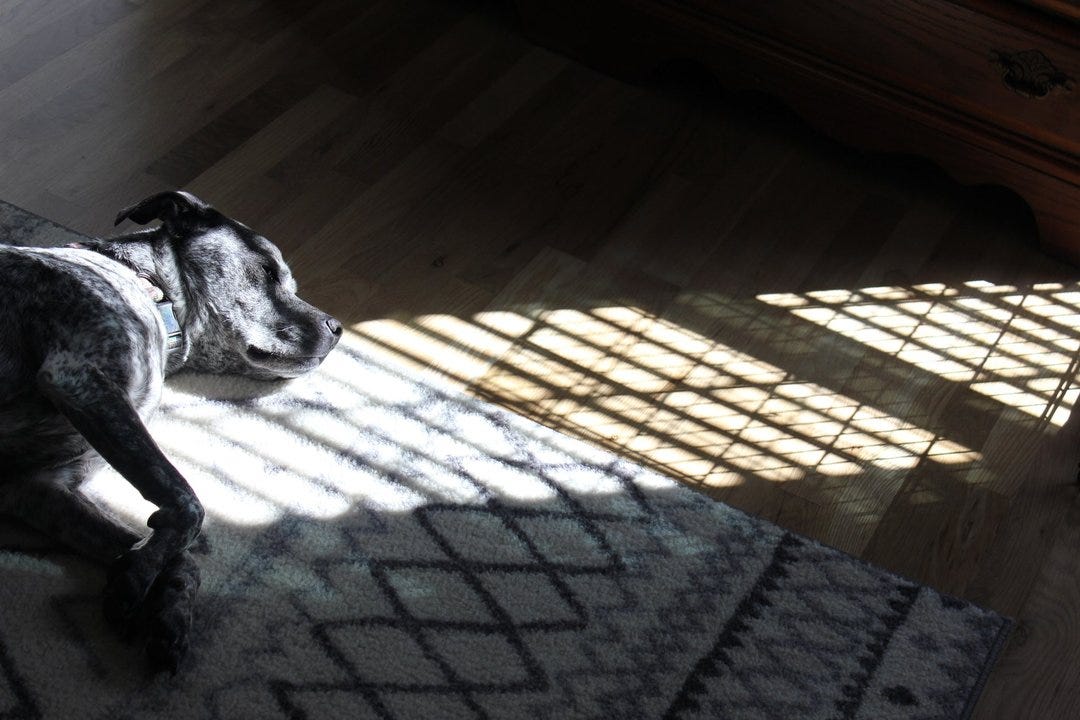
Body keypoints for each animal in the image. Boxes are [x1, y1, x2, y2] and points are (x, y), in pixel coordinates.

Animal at [0, 191, 342, 672]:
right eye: (267, 270)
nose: (338, 328)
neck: (148, 287)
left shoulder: (36, 490)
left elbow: (182, 557)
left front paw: (165, 609)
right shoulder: (79, 377)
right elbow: (187, 503)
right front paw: (139, 579)